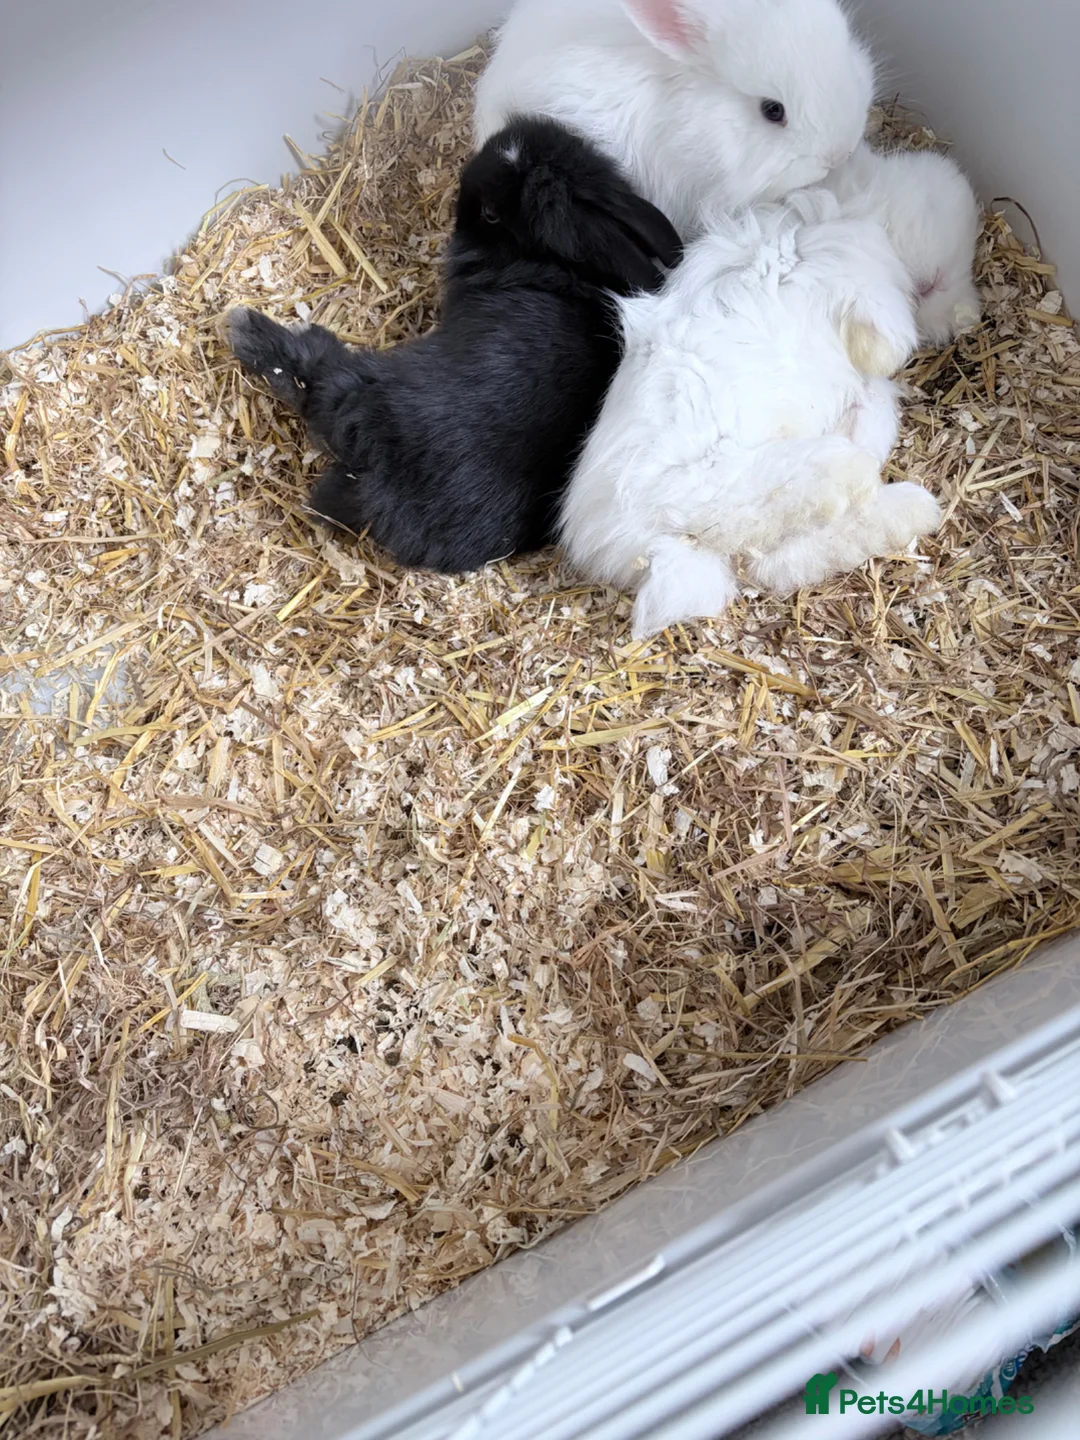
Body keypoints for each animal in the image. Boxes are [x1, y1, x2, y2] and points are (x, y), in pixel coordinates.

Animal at [226, 117, 682, 576]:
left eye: (491, 213)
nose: (456, 209)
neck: (556, 266)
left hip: (355, 381)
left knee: (311, 372)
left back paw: (245, 327)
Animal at [559, 187, 942, 639]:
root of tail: (645, 549)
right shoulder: (856, 288)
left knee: (772, 562)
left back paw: (914, 509)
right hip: (718, 477)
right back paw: (875, 486)